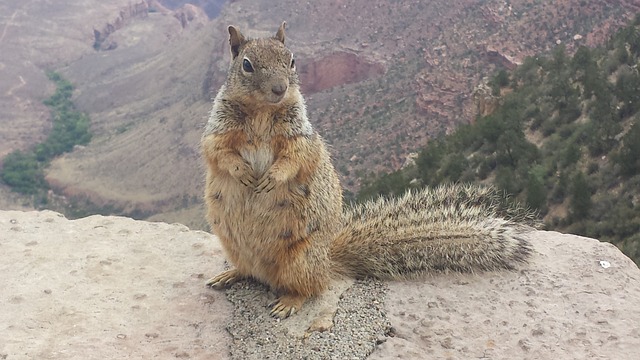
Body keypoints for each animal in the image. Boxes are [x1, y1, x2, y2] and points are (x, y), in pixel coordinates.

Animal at [201, 22, 540, 320]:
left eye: (292, 60)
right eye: (246, 65)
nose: (279, 89)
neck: (262, 112)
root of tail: (329, 258)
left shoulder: (301, 138)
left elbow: (296, 159)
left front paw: (271, 178)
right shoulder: (217, 131)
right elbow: (216, 151)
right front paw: (242, 171)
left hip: (302, 260)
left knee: (311, 288)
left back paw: (288, 301)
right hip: (235, 247)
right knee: (251, 272)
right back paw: (229, 275)